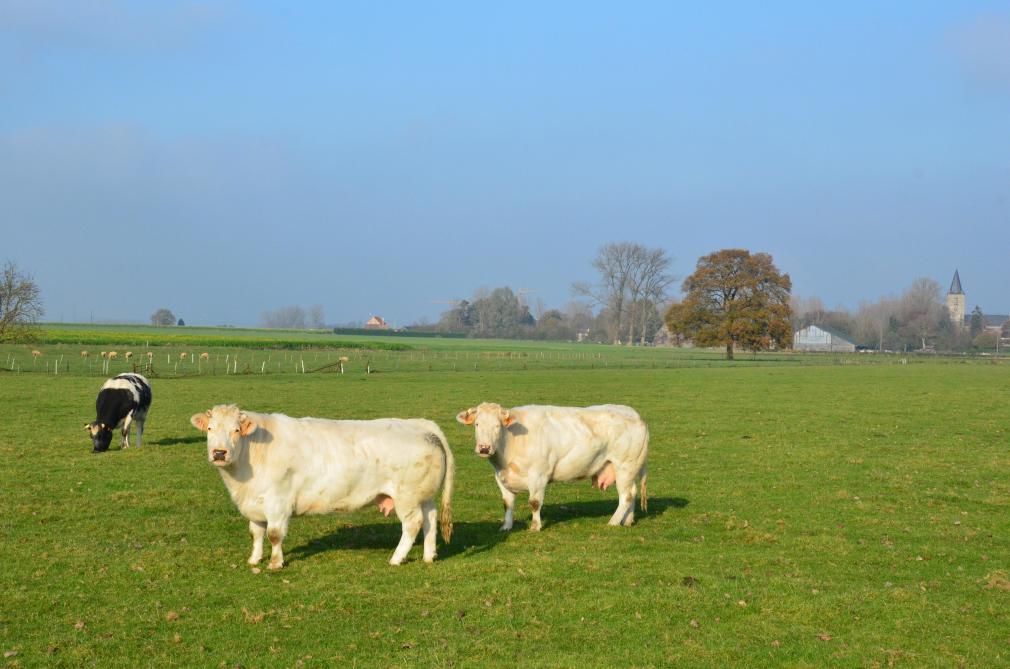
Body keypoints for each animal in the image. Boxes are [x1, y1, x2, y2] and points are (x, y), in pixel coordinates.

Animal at [188, 406, 454, 569]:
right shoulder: (255, 504)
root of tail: (421, 425)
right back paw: (429, 555)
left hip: (406, 497)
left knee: (412, 524)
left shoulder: (278, 503)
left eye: (235, 430)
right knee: (430, 520)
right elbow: (256, 533)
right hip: (423, 496)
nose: (219, 453)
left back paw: (396, 558)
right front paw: (254, 559)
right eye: (210, 429)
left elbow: (274, 535)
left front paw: (275, 563)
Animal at [456, 404, 646, 533]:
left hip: (624, 466)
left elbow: (534, 503)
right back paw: (627, 520)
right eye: (477, 424)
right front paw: (506, 526)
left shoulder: (538, 476)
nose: (484, 448)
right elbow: (507, 504)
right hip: (628, 469)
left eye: (498, 425)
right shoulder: (501, 477)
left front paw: (535, 526)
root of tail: (634, 414)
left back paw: (613, 521)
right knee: (633, 492)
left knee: (626, 496)